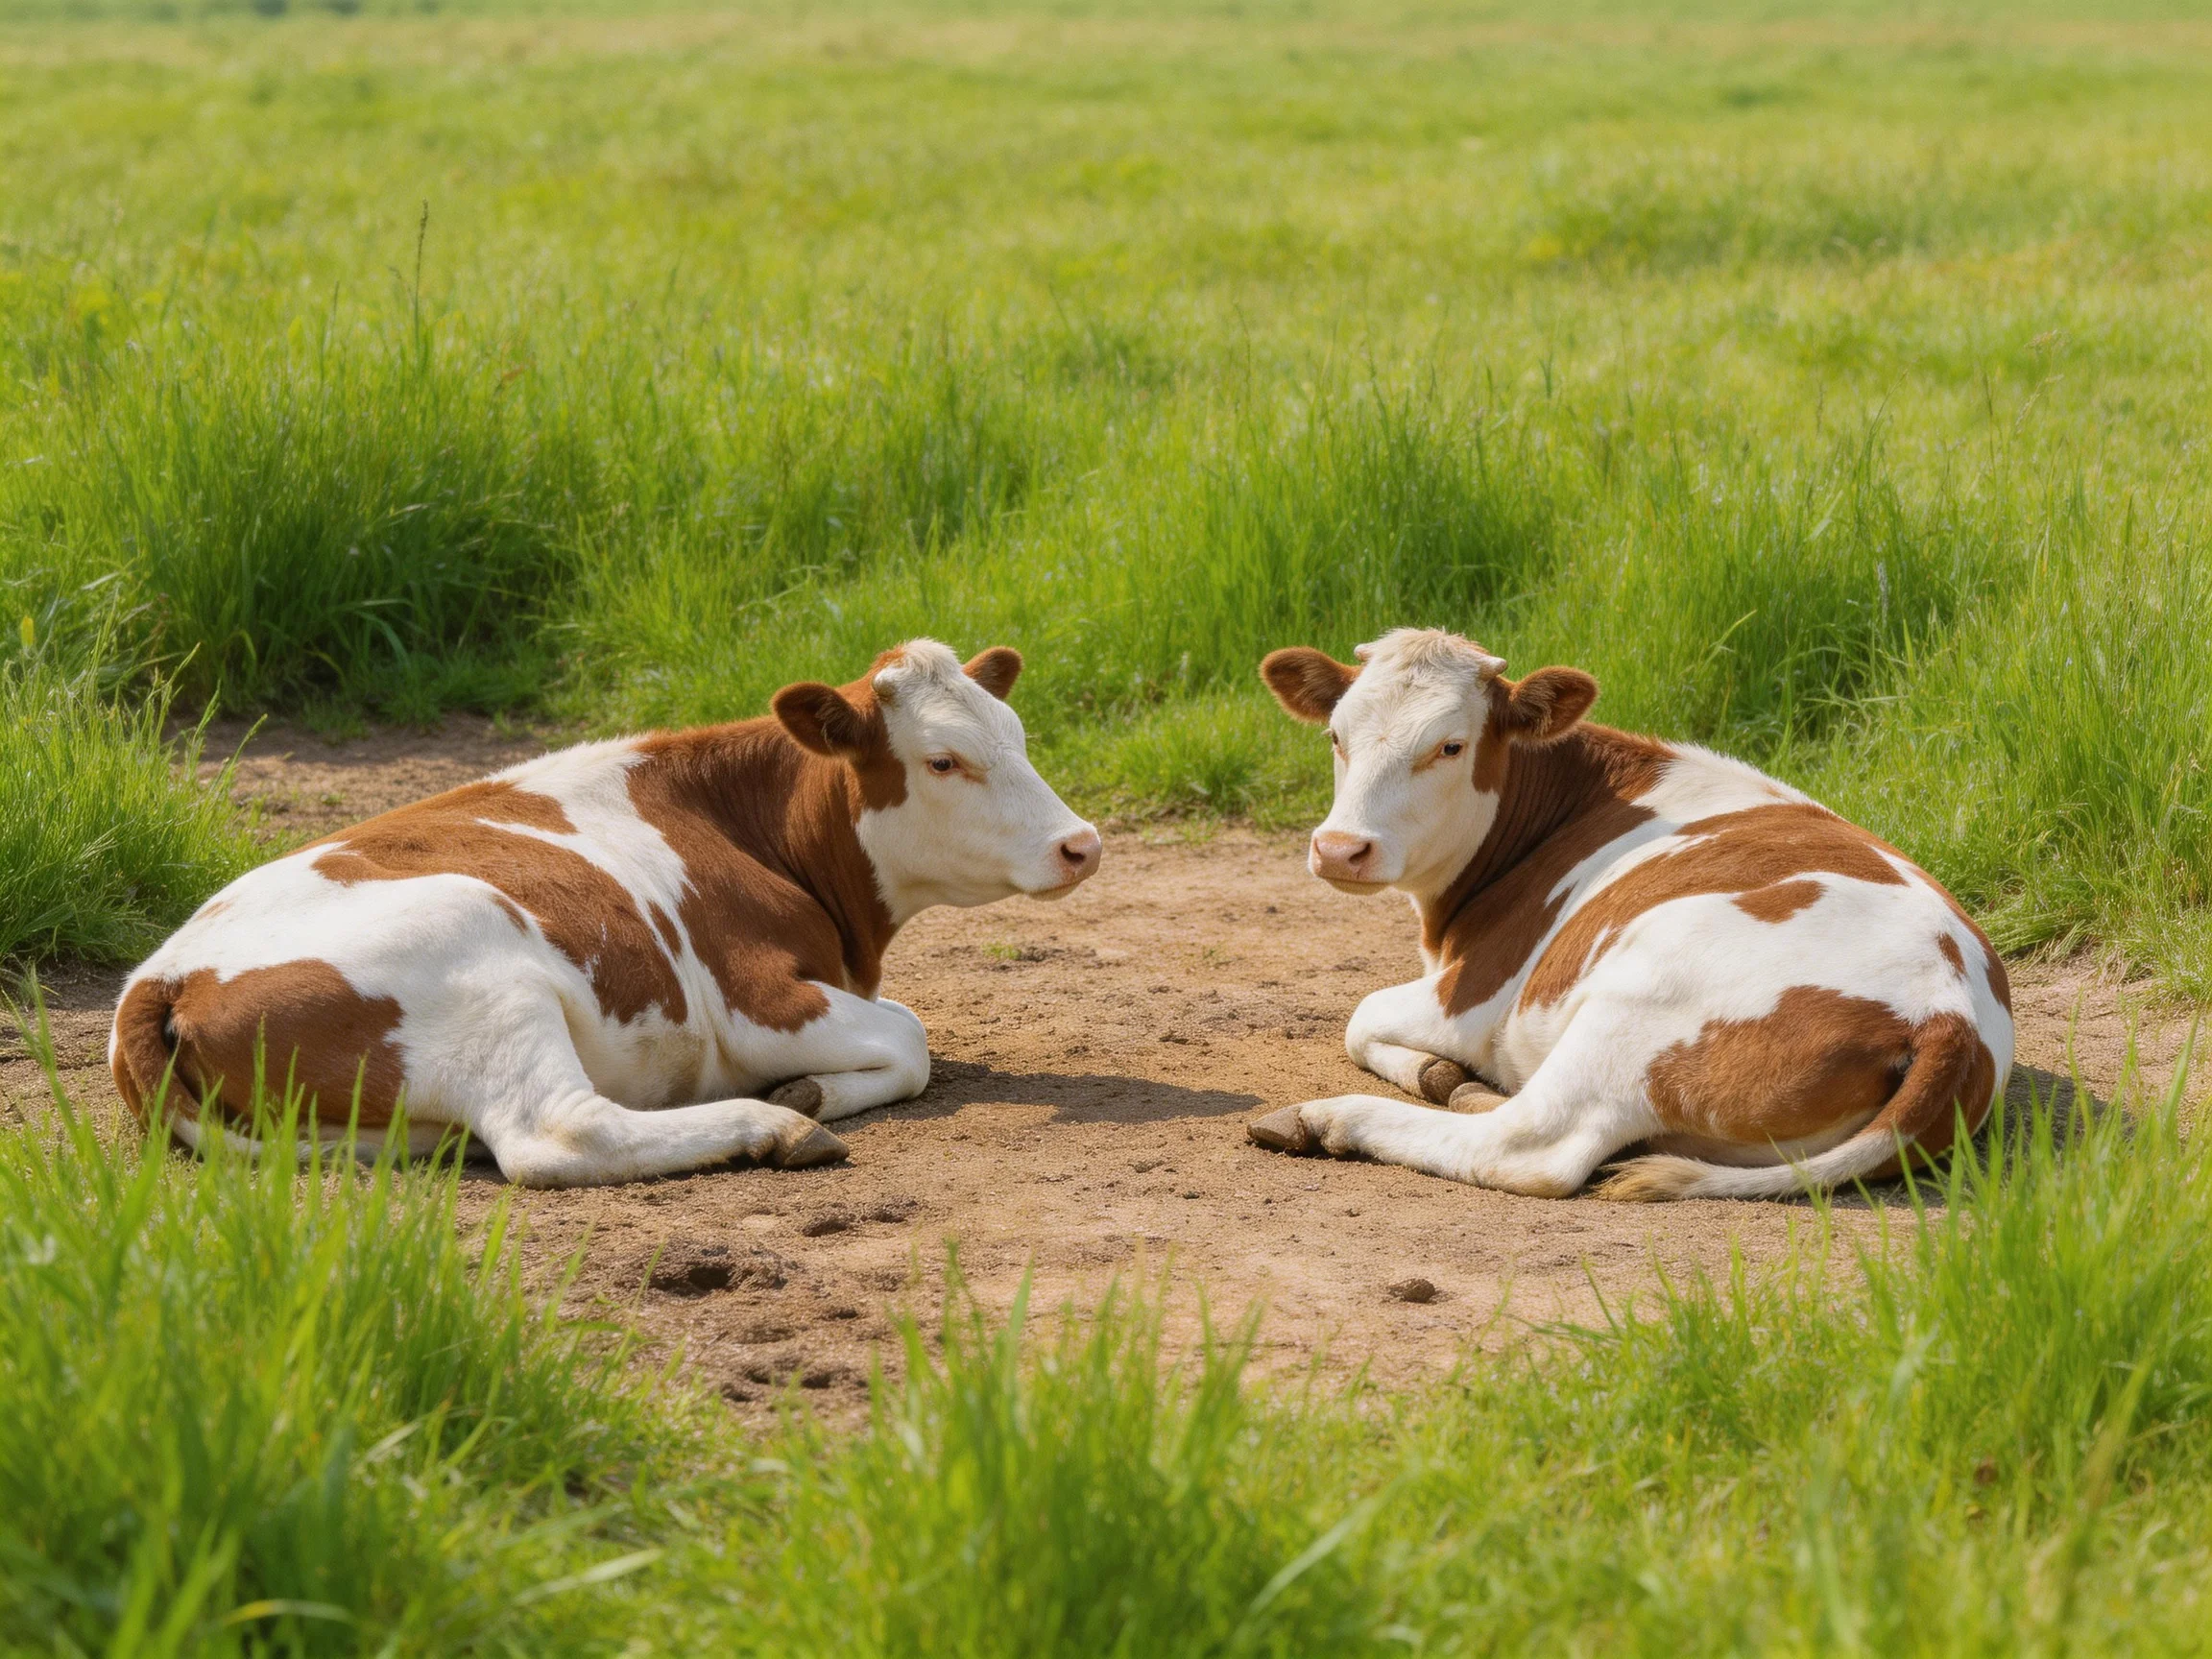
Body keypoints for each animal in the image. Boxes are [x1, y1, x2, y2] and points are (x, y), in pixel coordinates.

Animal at [109, 641, 1101, 1188]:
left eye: (1017, 738)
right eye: (943, 761)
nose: (1081, 843)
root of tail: (160, 981)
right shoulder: (754, 1002)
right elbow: (910, 1037)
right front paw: (802, 1092)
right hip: (479, 958)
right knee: (559, 1133)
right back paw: (769, 1127)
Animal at [1246, 628, 2012, 1200]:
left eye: (1450, 745)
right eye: (1336, 736)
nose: (1340, 849)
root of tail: (1950, 1014)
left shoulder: (1476, 996)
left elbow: (1360, 1017)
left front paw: (1442, 1074)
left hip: (1640, 1001)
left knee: (1532, 1146)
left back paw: (1329, 1118)